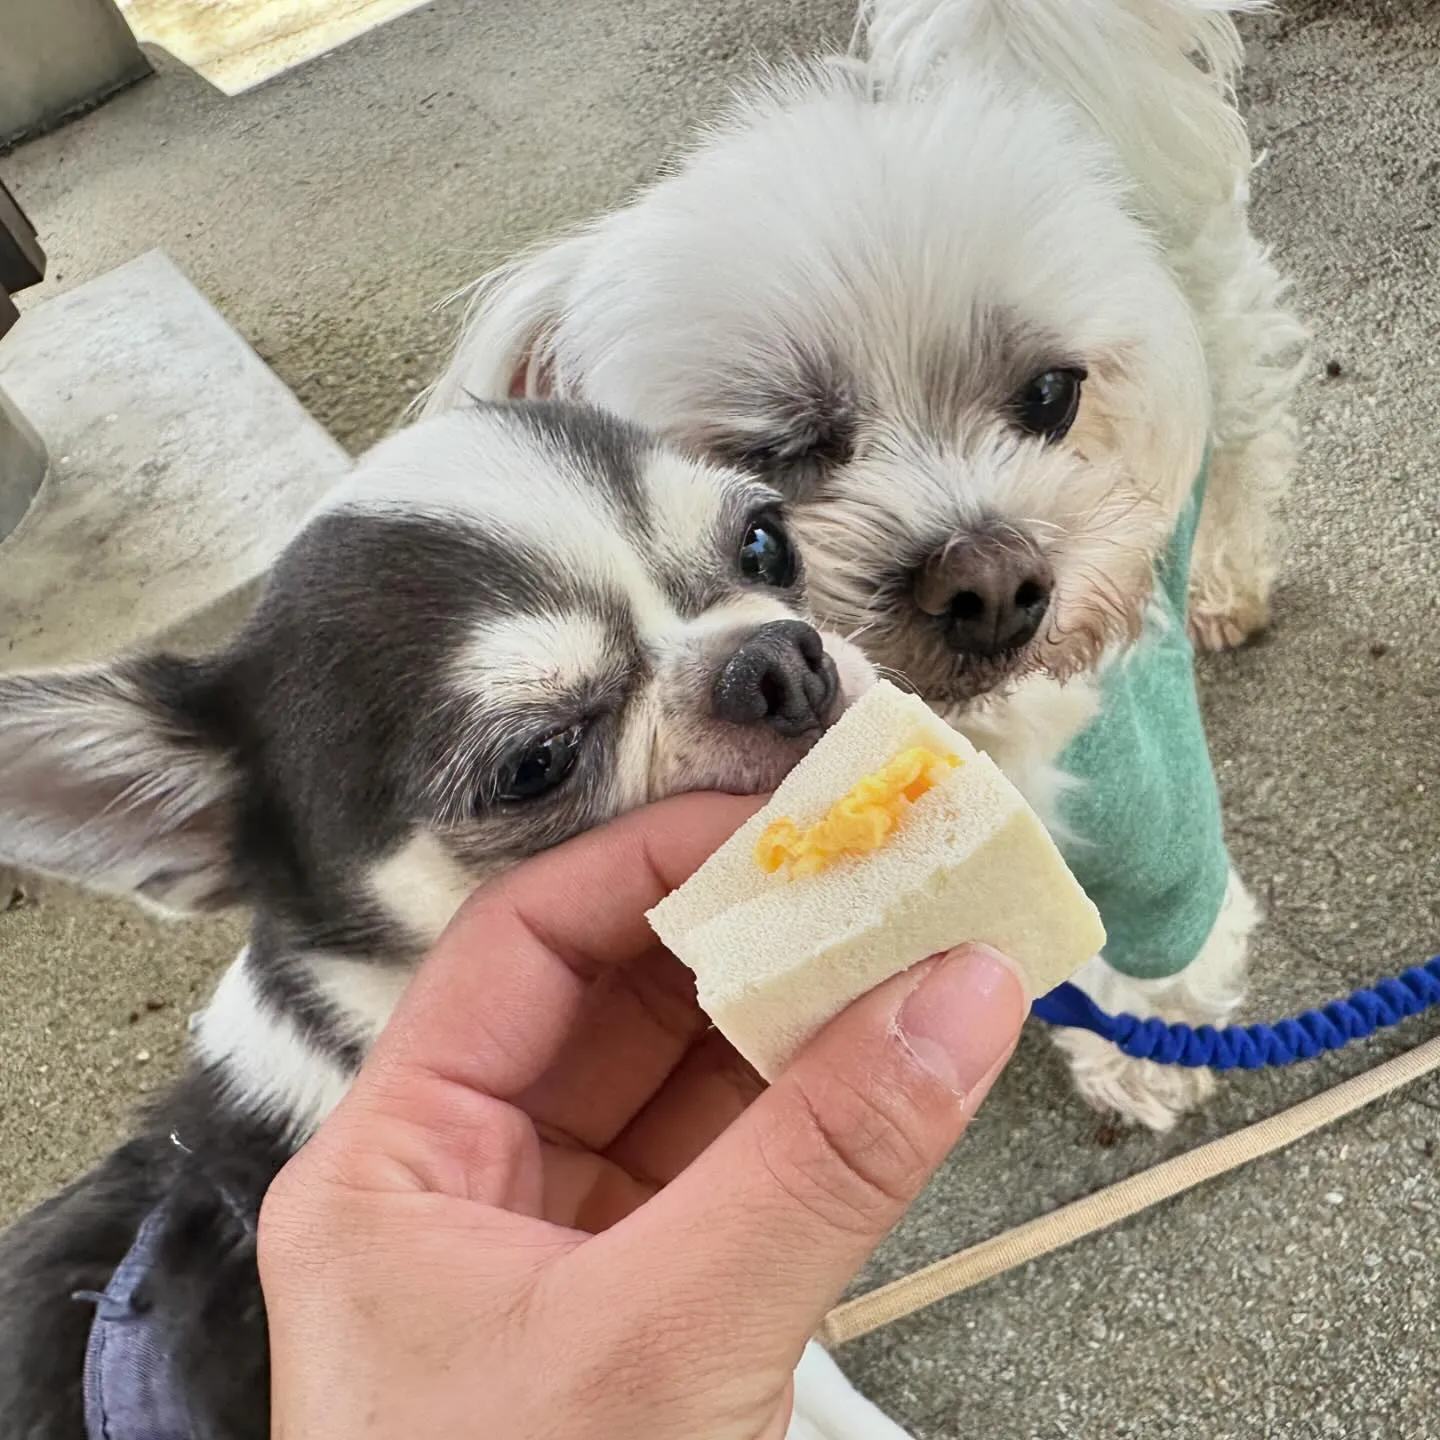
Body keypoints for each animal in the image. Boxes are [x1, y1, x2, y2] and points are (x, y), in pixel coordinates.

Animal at [423, 0, 1307, 1134]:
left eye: (1051, 394)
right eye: (775, 456)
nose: (992, 585)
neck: (976, 726)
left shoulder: (1155, 816)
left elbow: (1168, 947)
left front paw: (1148, 1059)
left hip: (1224, 336)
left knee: (1242, 444)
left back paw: (1226, 587)